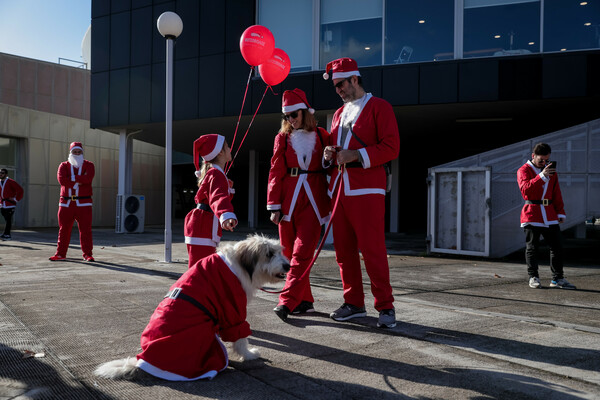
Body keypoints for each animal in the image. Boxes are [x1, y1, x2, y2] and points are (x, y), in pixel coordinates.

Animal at [95, 234, 290, 382]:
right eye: (269, 253)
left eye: (280, 251)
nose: (288, 265)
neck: (240, 265)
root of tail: (141, 360)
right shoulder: (232, 309)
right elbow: (240, 336)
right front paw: (248, 354)